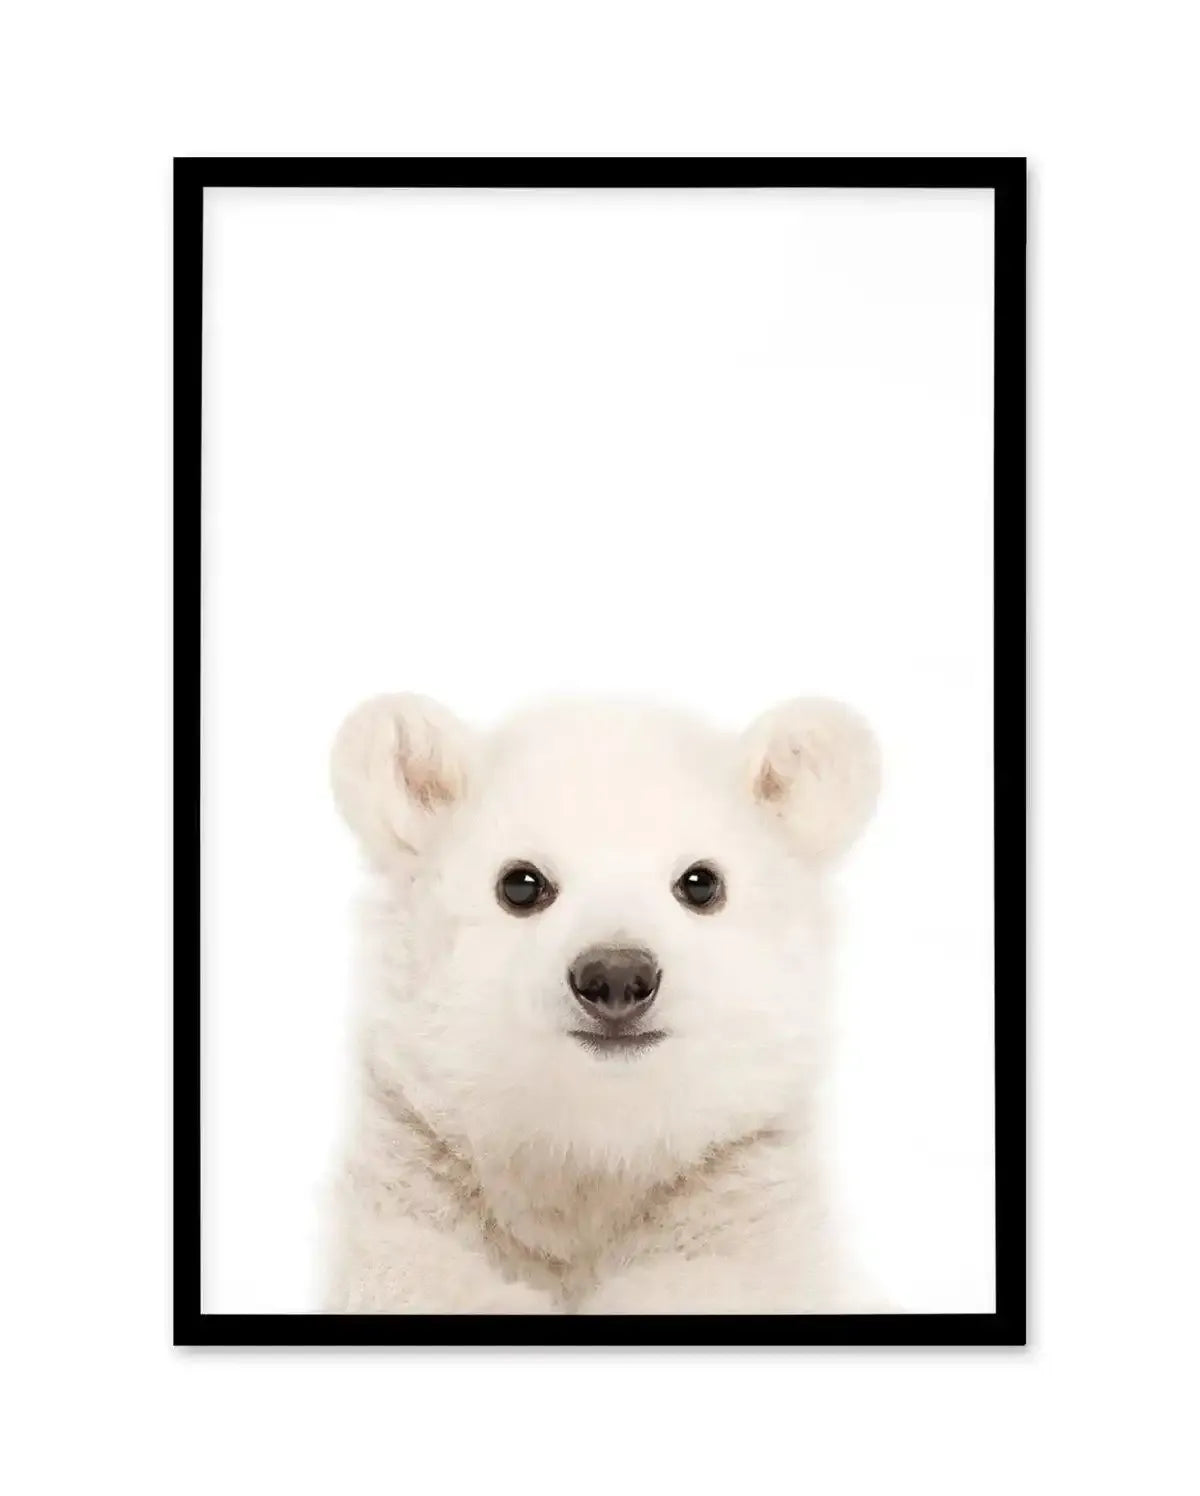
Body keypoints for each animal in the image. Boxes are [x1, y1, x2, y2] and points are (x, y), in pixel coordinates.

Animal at [323, 692, 883, 1314]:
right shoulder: (423, 1177)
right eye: (520, 883)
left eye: (701, 882)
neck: (596, 1158)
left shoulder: (738, 1197)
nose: (616, 976)